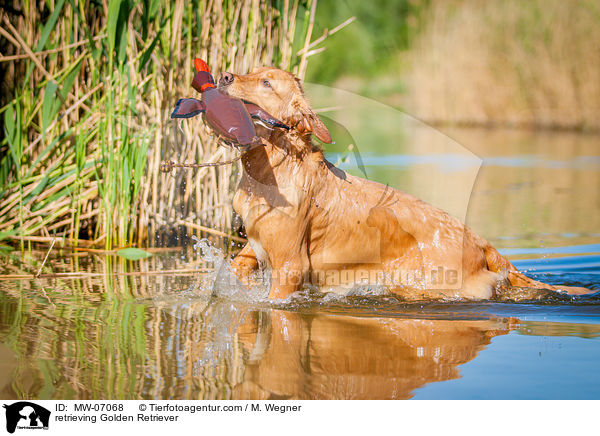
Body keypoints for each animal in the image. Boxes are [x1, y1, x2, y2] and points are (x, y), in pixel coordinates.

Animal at [217, 67, 592, 300]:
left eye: (266, 83)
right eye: (250, 71)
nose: (223, 76)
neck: (274, 166)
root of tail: (482, 242)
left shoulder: (290, 267)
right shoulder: (253, 242)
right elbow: (237, 265)